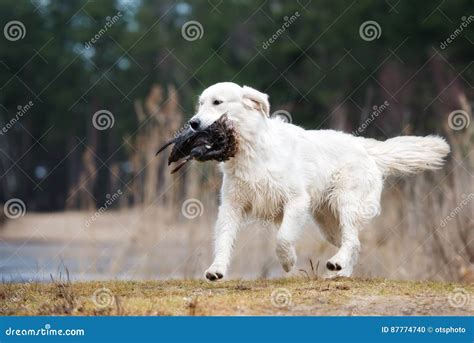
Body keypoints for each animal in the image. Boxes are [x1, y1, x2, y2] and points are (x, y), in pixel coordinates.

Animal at [187, 82, 450, 280]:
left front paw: (288, 261)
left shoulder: (296, 200)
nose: (193, 123)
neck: (251, 152)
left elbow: (283, 238)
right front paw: (216, 270)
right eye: (200, 103)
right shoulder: (232, 206)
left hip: (346, 203)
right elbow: (223, 240)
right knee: (353, 242)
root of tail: (365, 146)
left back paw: (337, 264)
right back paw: (341, 273)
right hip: (328, 223)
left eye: (217, 102)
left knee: (352, 240)